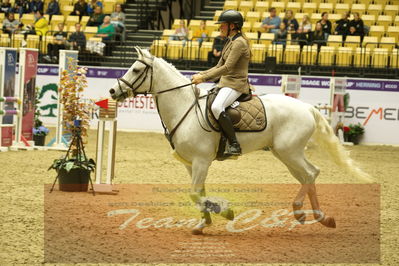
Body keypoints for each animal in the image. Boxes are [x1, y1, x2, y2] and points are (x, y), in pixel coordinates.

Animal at [109, 47, 372, 235]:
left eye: (136, 70)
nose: (113, 92)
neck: (186, 108)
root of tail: (307, 107)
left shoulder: (201, 161)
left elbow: (195, 193)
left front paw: (223, 212)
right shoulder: (191, 164)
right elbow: (198, 193)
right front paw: (203, 223)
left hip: (290, 152)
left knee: (310, 173)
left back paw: (302, 213)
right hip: (285, 154)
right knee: (308, 175)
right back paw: (321, 217)